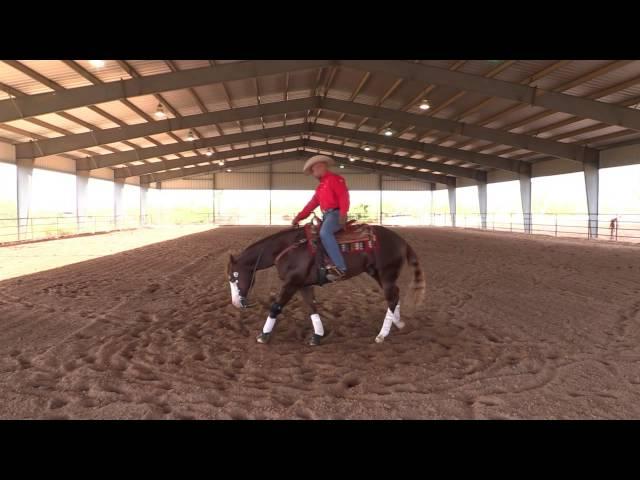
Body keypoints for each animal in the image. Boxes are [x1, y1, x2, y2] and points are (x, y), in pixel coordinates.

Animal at [225, 219, 424, 346]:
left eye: (233, 277)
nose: (235, 303)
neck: (288, 248)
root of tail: (401, 241)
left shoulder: (291, 283)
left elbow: (276, 306)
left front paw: (263, 335)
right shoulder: (303, 285)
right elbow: (312, 307)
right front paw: (317, 336)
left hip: (386, 274)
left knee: (392, 297)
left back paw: (382, 335)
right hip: (378, 274)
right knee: (394, 296)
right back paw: (398, 323)